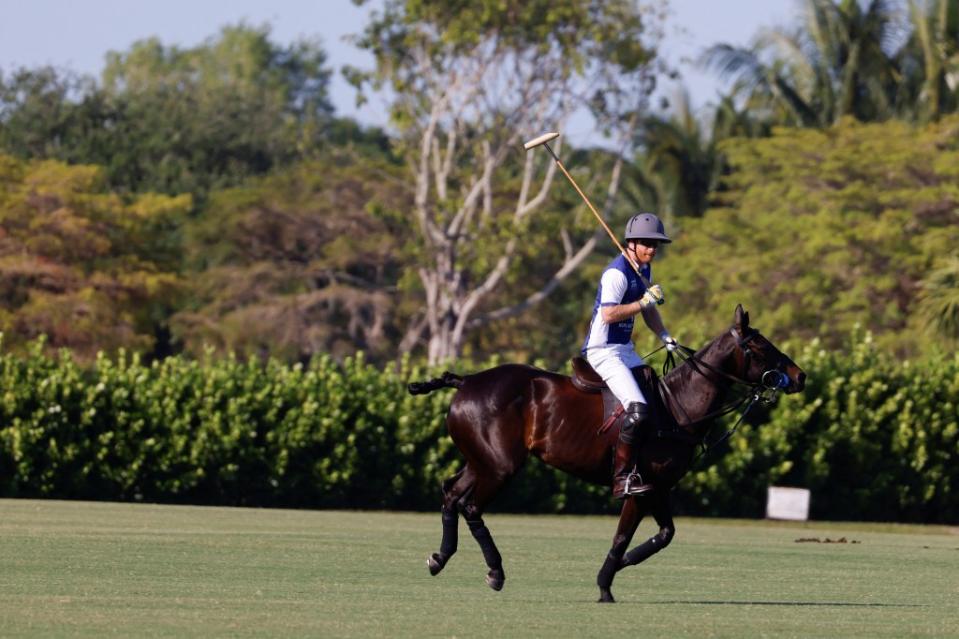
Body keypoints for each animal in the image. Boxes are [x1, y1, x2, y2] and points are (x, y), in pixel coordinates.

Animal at [408, 308, 808, 604]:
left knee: (451, 493)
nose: (800, 376)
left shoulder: (659, 488)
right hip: (500, 466)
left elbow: (666, 533)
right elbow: (622, 536)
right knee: (471, 505)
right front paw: (605, 585)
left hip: (481, 460)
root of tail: (466, 382)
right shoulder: (640, 488)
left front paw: (625, 565)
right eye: (760, 347)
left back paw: (438, 558)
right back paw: (495, 572)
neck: (676, 407)